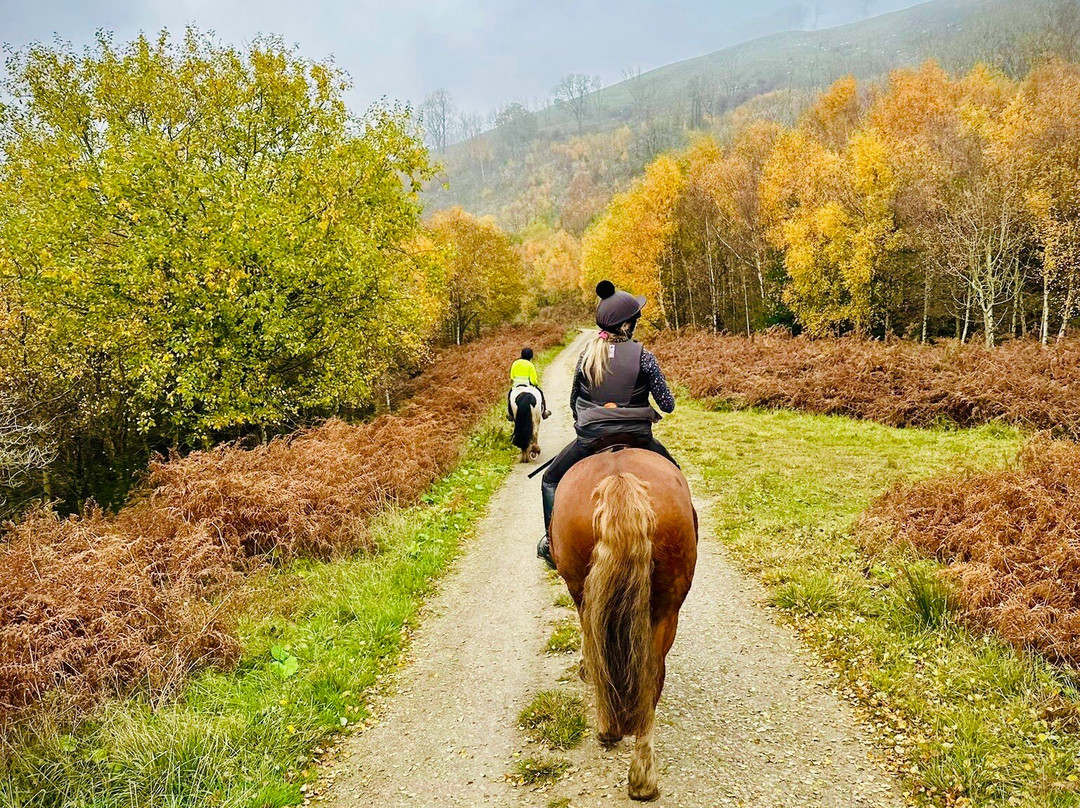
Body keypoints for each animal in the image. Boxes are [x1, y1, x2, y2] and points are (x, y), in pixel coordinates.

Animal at [550, 448, 697, 801]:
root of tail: (620, 482)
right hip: (666, 610)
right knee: (651, 676)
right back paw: (643, 777)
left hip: (583, 590)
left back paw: (610, 732)